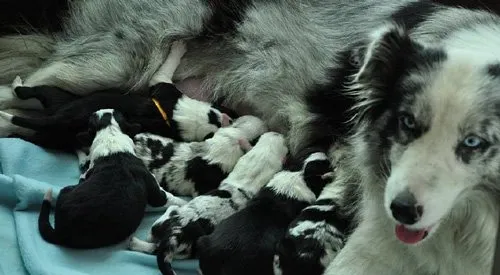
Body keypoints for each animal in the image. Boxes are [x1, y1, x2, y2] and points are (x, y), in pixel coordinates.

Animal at [0, 41, 232, 151]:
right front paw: (179, 46)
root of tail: (58, 119)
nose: (230, 118)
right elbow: (168, 64)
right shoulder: (163, 87)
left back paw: (17, 87)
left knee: (26, 104)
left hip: (54, 114)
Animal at [37, 110, 185, 250]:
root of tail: (60, 233)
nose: (99, 110)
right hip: (66, 189)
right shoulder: (157, 193)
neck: (110, 135)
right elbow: (173, 199)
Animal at [127, 133, 288, 274]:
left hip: (172, 234)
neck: (245, 183)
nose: (277, 134)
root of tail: (176, 234)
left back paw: (134, 242)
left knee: (152, 244)